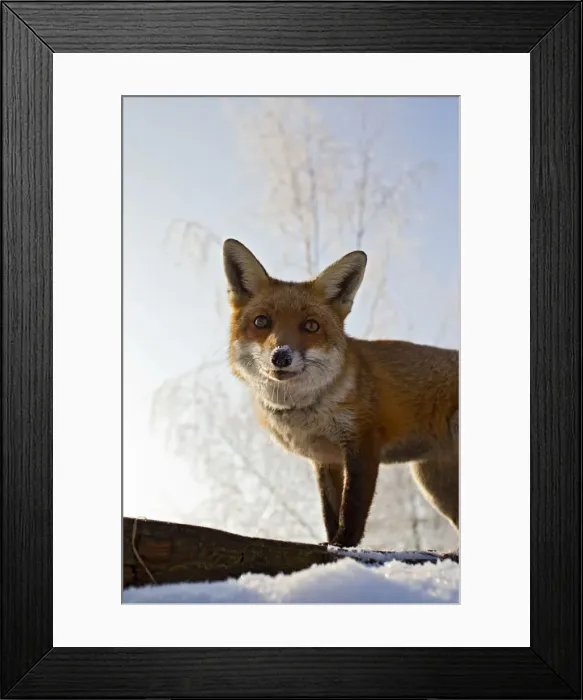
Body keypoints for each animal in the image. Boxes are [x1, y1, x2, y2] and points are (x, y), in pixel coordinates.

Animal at [222, 238, 459, 550]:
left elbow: (353, 509)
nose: (281, 356)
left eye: (311, 326)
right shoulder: (326, 459)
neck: (308, 414)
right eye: (262, 322)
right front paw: (331, 544)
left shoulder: (363, 443)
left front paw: (344, 546)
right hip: (434, 484)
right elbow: (330, 511)